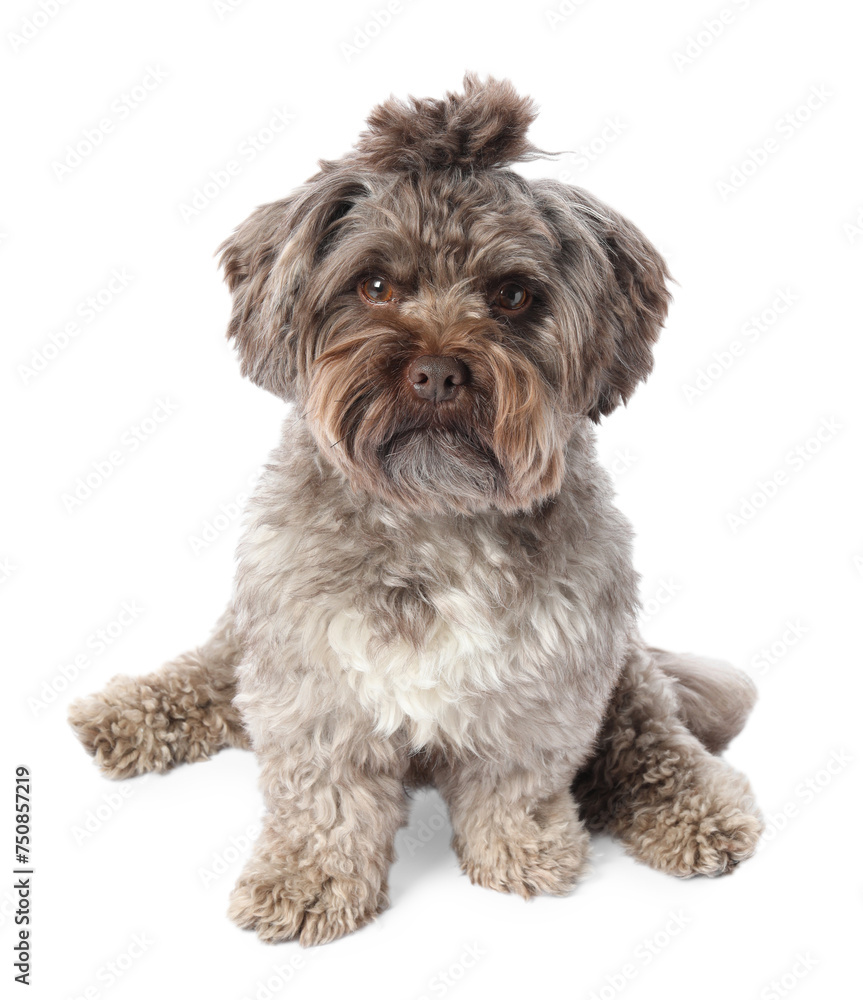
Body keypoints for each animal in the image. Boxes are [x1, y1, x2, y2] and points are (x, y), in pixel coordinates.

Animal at [69, 74, 764, 940]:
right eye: (374, 285)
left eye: (512, 295)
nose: (436, 372)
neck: (436, 512)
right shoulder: (311, 674)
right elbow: (324, 795)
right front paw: (308, 879)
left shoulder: (550, 675)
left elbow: (517, 780)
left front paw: (521, 852)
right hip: (255, 631)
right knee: (212, 671)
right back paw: (121, 713)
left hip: (624, 672)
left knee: (649, 738)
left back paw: (697, 810)